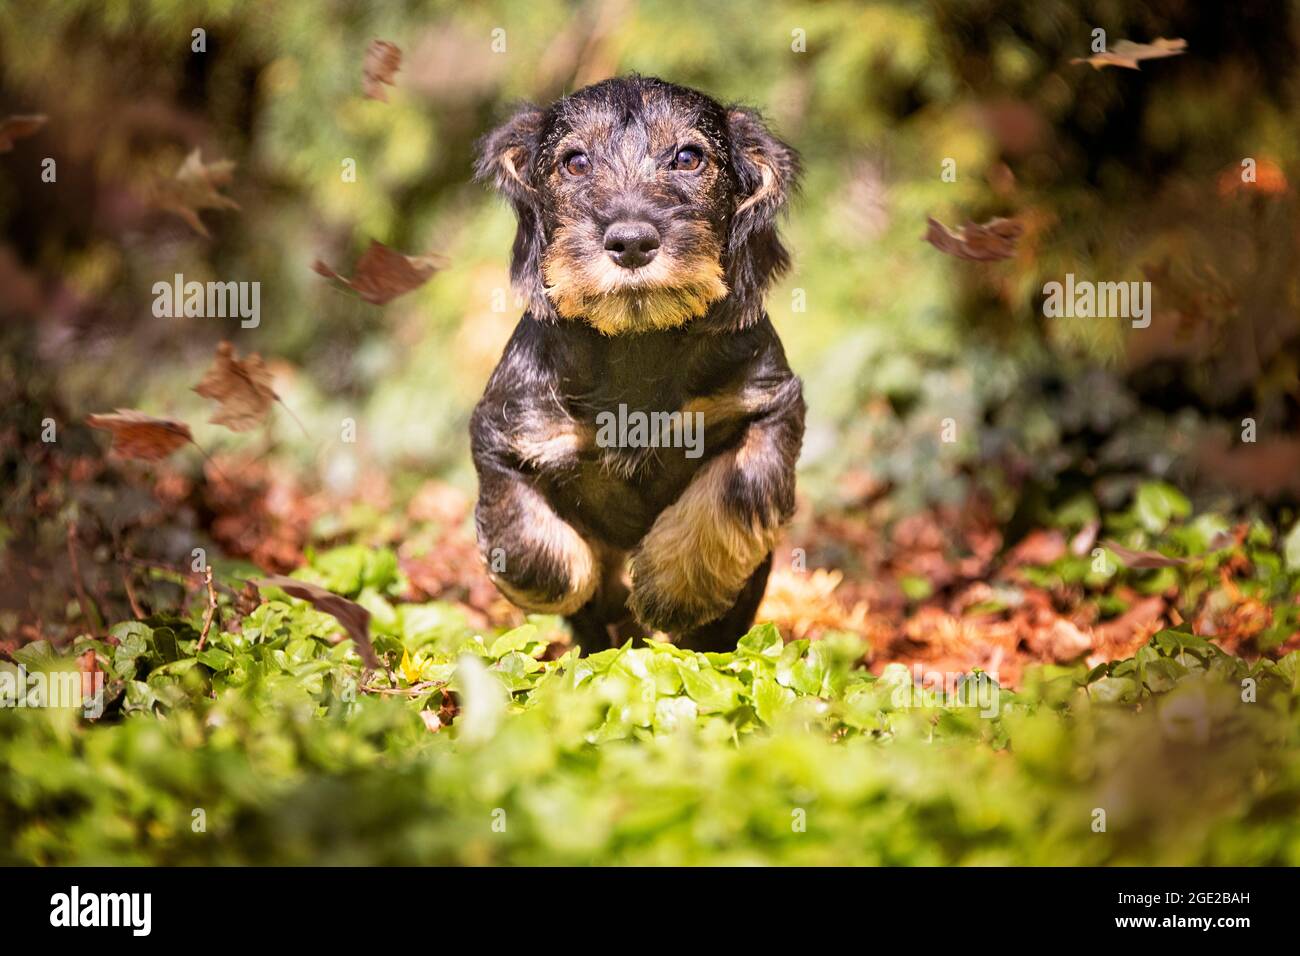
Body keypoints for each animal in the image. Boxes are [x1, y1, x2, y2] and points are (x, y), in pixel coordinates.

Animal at [473, 78, 806, 655]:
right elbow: (536, 548)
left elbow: (731, 495)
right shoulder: (505, 436)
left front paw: (670, 589)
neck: (637, 344)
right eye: (575, 162)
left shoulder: (769, 410)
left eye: (689, 157)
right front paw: (600, 588)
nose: (631, 242)